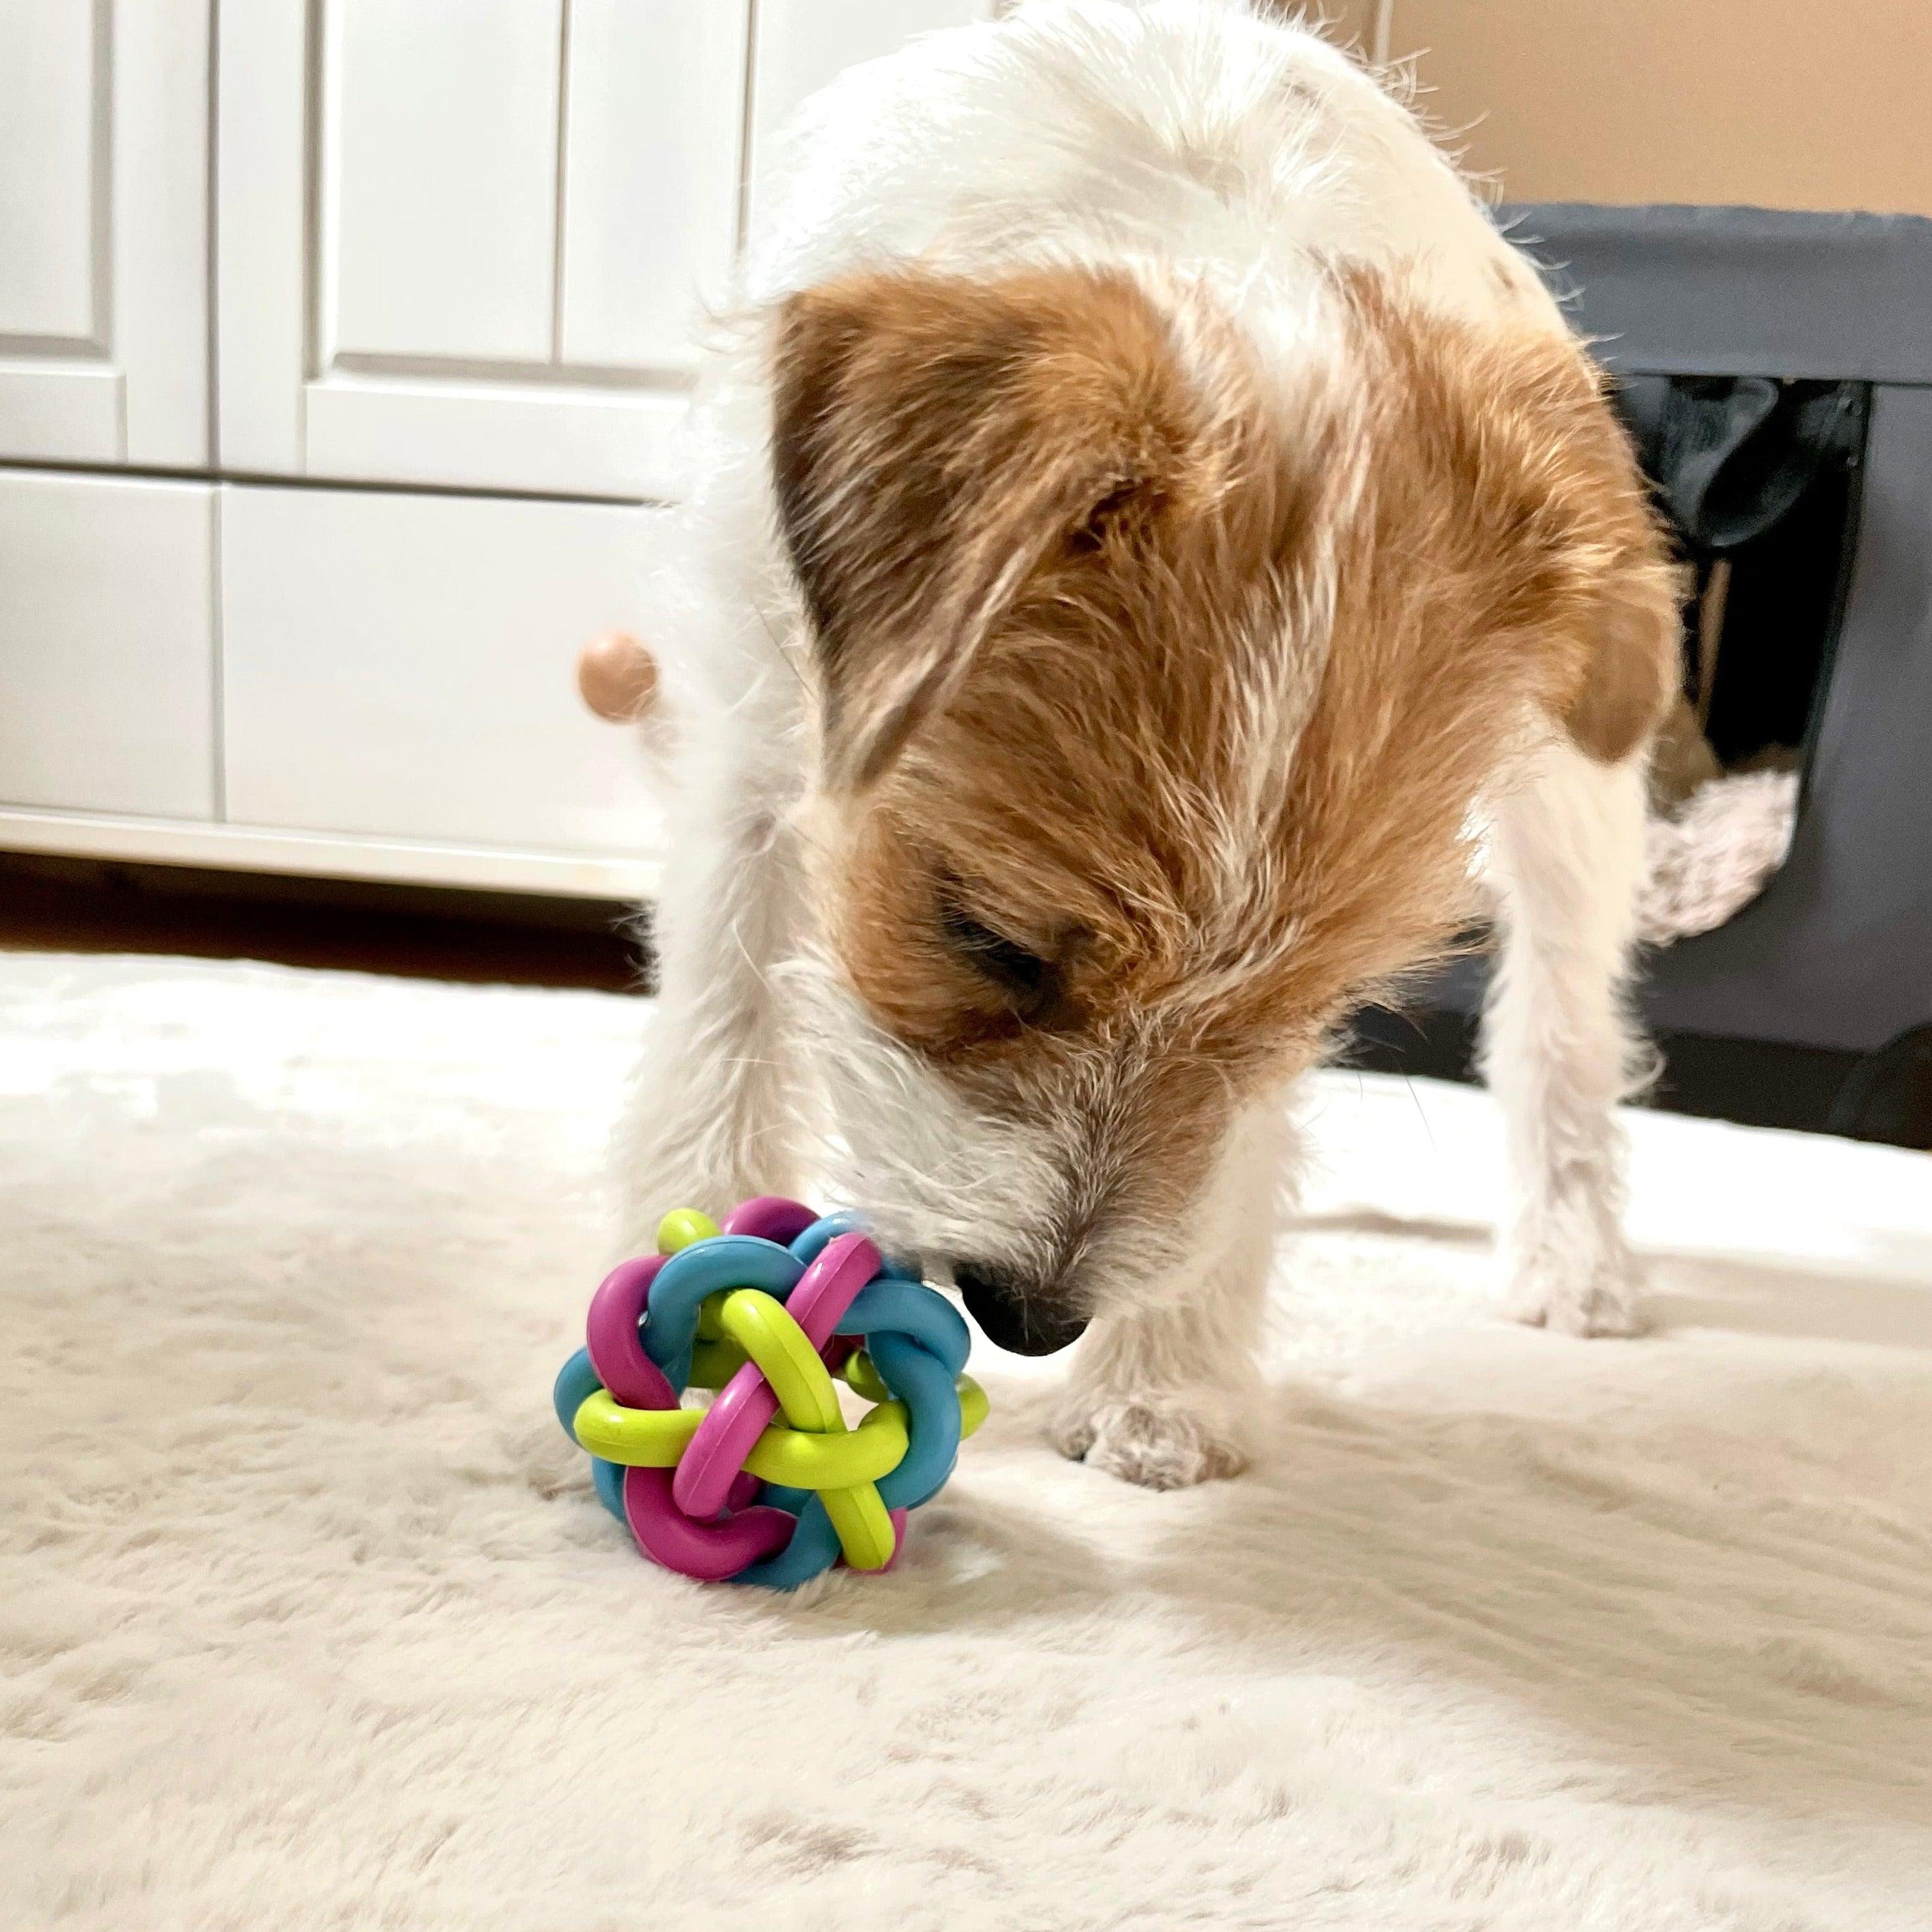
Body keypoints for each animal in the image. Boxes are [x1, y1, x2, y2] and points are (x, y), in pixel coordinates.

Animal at [618, 0, 1677, 1491]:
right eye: (985, 936)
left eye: (1306, 1007)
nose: (1028, 1315)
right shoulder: (747, 765)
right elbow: (719, 1044)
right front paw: (693, 1353)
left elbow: (1246, 1138)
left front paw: (1161, 1387)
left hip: (1583, 789)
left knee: (1563, 1029)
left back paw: (1576, 1259)